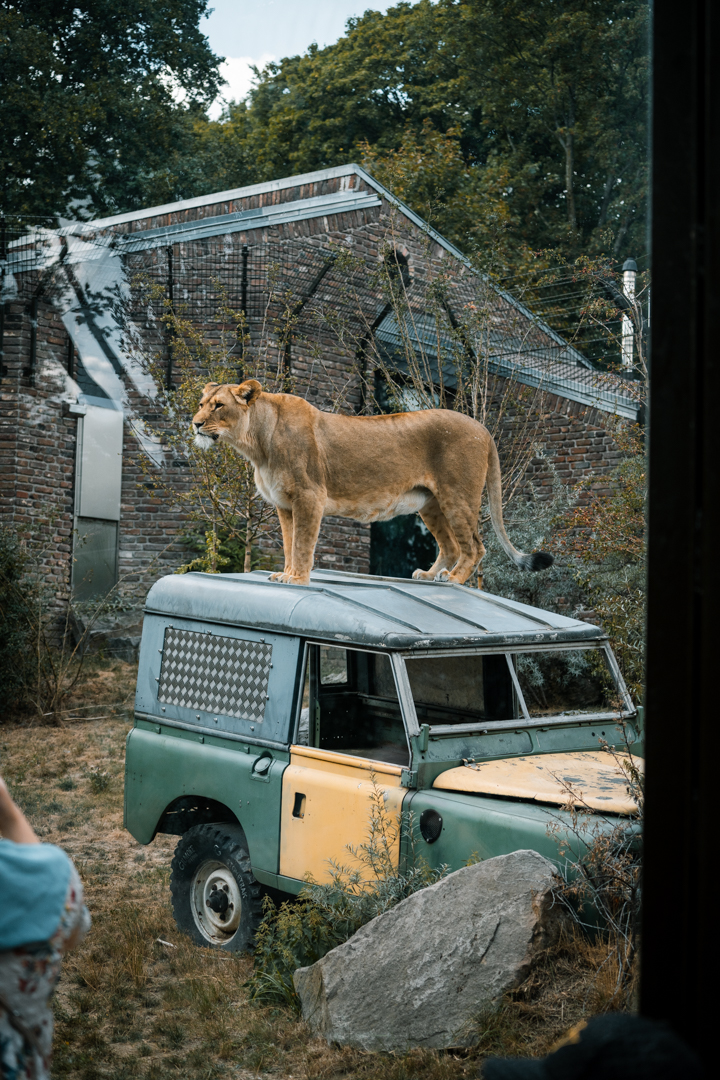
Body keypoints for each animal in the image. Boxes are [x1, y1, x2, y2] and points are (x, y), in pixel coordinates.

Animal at [192, 380, 553, 586]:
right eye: (200, 404)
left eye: (219, 405)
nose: (194, 424)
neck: (257, 444)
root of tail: (483, 428)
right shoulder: (284, 504)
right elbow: (289, 543)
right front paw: (286, 573)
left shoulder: (309, 497)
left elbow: (303, 544)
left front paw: (298, 579)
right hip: (431, 504)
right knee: (451, 546)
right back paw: (429, 575)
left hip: (457, 497)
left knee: (475, 546)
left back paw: (453, 579)